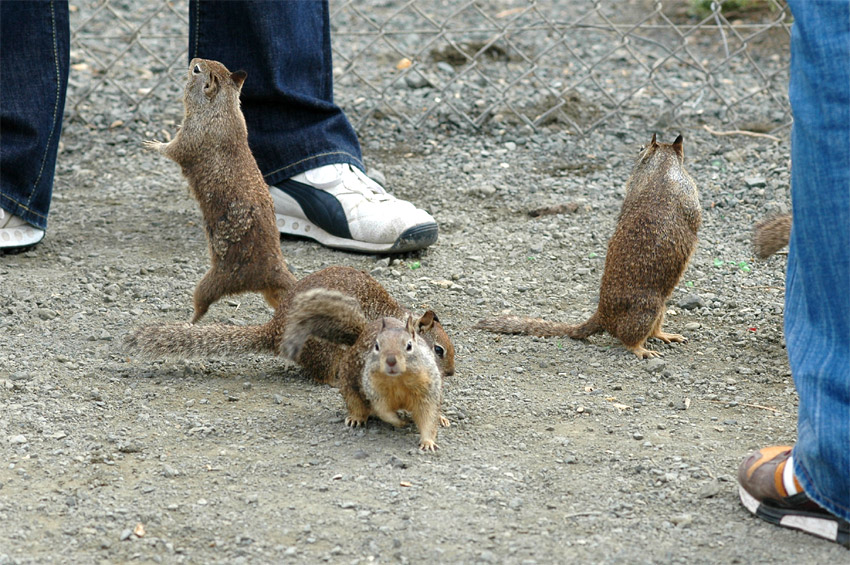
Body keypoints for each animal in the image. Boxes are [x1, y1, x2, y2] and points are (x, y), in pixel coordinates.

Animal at [142, 58, 294, 322]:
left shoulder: (190, 136)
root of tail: (272, 270)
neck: (224, 109)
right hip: (268, 291)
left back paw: (189, 322)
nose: (193, 59)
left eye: (197, 70)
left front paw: (154, 144)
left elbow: (172, 150)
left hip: (212, 282)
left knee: (201, 305)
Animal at [284, 286, 444, 450]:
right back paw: (355, 419)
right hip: (349, 386)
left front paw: (428, 442)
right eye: (377, 346)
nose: (391, 361)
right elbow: (384, 412)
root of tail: (360, 335)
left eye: (409, 345)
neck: (399, 380)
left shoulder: (427, 391)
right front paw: (400, 422)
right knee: (357, 406)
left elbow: (428, 417)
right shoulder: (374, 391)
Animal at [474, 133, 700, 356]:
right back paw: (641, 349)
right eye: (641, 147)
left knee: (653, 331)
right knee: (628, 338)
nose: (637, 152)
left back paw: (666, 335)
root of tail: (603, 315)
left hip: (661, 307)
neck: (662, 169)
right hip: (649, 309)